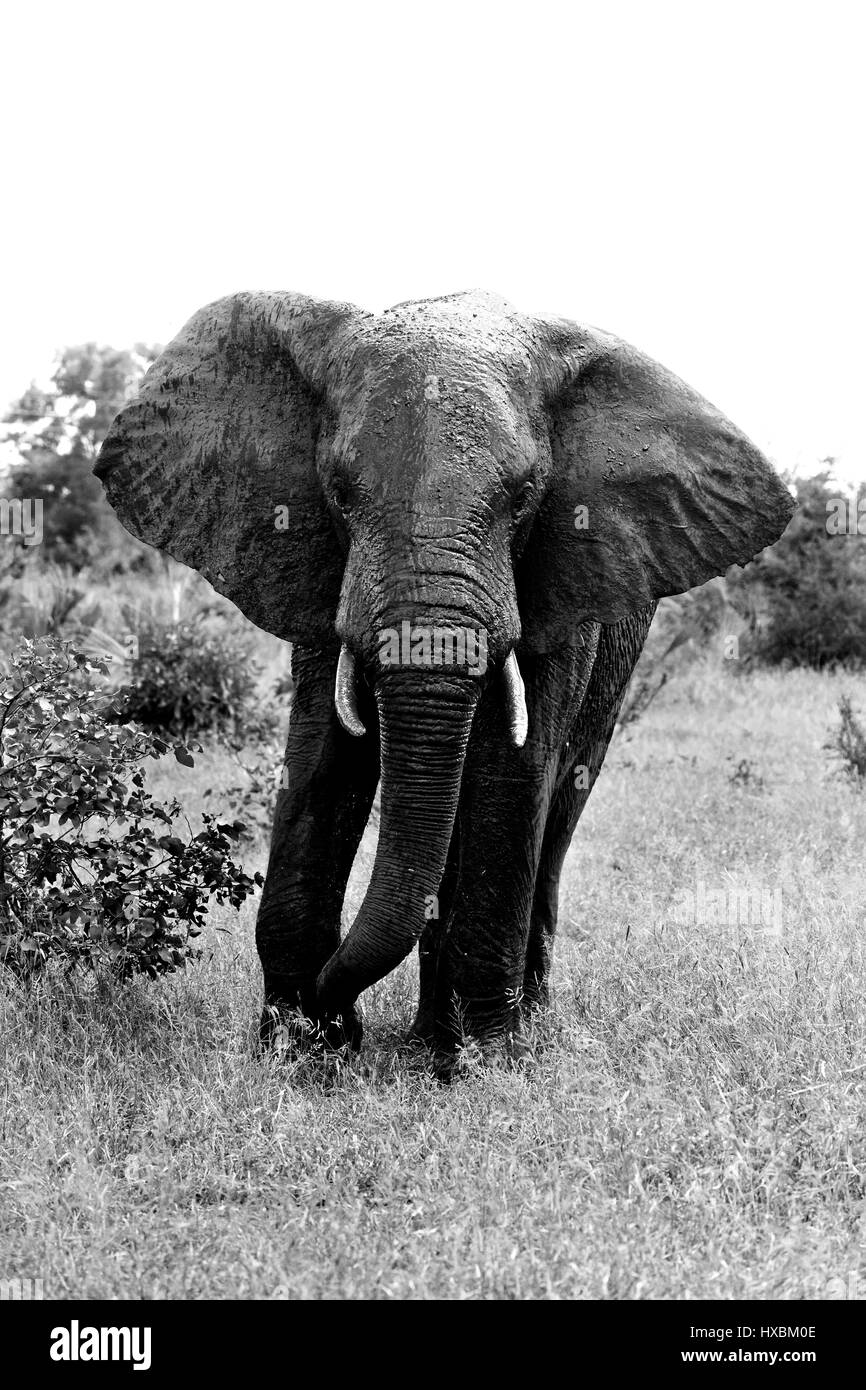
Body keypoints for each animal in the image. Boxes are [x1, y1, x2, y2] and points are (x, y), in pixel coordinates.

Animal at [94, 287, 795, 1056]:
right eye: (338, 491)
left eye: (525, 494)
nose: (335, 1012)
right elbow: (320, 759)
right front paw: (299, 1050)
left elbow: (512, 771)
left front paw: (483, 1059)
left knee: (560, 801)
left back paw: (497, 1025)